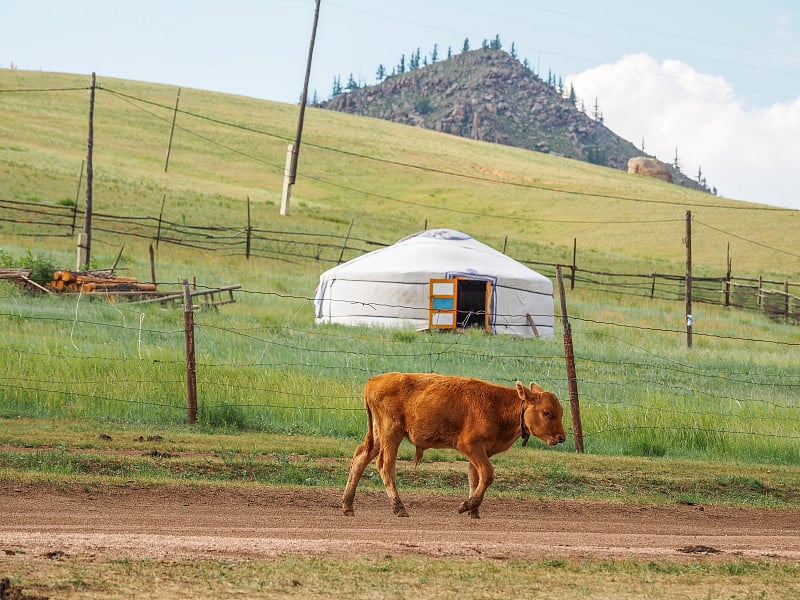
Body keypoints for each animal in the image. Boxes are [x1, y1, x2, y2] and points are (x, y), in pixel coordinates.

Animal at [340, 370, 564, 516]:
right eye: (546, 412)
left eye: (560, 412)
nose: (562, 437)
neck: (498, 405)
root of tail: (373, 381)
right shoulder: (471, 446)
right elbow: (487, 474)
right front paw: (467, 506)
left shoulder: (481, 451)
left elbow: (475, 477)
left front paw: (474, 511)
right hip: (391, 434)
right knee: (385, 466)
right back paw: (399, 508)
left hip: (379, 435)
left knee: (360, 458)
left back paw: (348, 506)